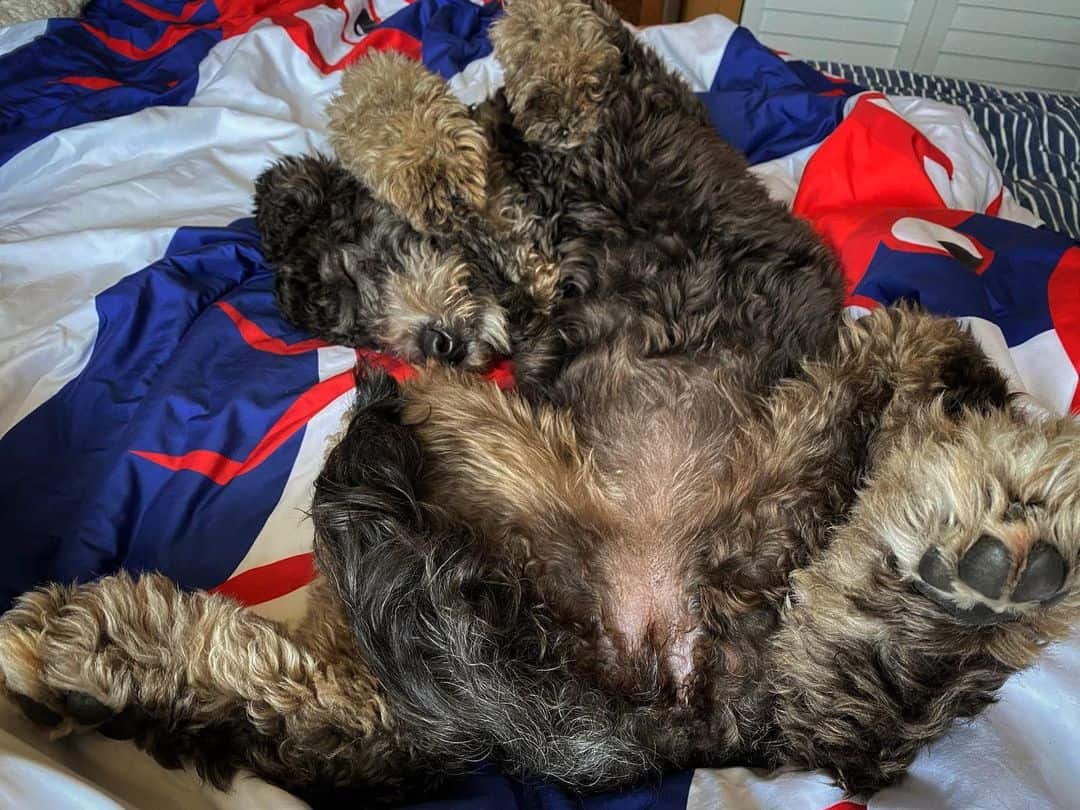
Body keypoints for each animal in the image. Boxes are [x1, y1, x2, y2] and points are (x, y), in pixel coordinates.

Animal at [2, 0, 1080, 807]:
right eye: (335, 319)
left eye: (346, 279)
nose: (430, 348)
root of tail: (673, 698)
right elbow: (434, 97)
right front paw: (449, 155)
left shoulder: (608, 120)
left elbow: (534, 56)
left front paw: (455, 147)